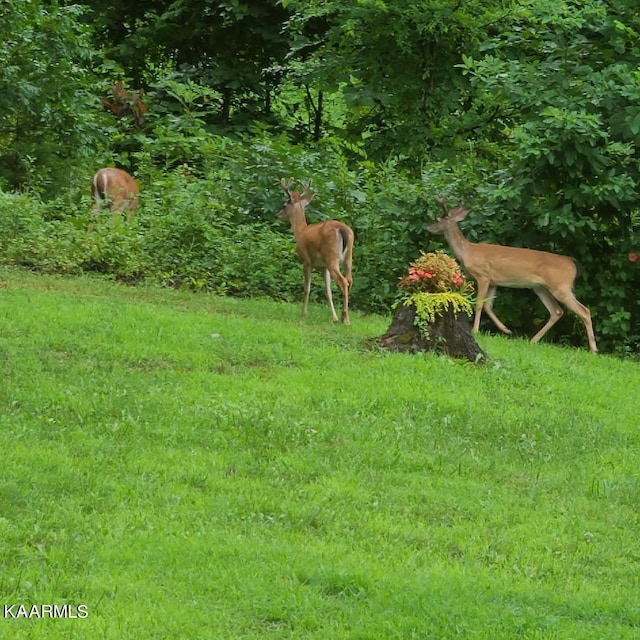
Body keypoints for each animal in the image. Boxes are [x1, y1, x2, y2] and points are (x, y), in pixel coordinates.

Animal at [276, 176, 356, 322]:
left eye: (284, 205)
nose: (277, 215)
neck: (301, 231)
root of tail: (342, 229)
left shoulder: (306, 260)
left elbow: (307, 288)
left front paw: (303, 313)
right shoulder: (323, 266)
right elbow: (328, 292)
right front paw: (334, 317)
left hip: (331, 257)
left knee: (343, 282)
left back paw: (346, 319)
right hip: (348, 257)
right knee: (349, 280)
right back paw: (343, 315)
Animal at [428, 198, 596, 352]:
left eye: (438, 220)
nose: (428, 228)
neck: (467, 251)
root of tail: (572, 262)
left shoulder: (483, 276)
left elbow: (480, 304)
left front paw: (475, 330)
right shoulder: (493, 281)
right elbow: (489, 305)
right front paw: (506, 330)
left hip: (561, 285)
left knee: (584, 311)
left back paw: (593, 349)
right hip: (540, 287)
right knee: (556, 311)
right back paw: (533, 340)